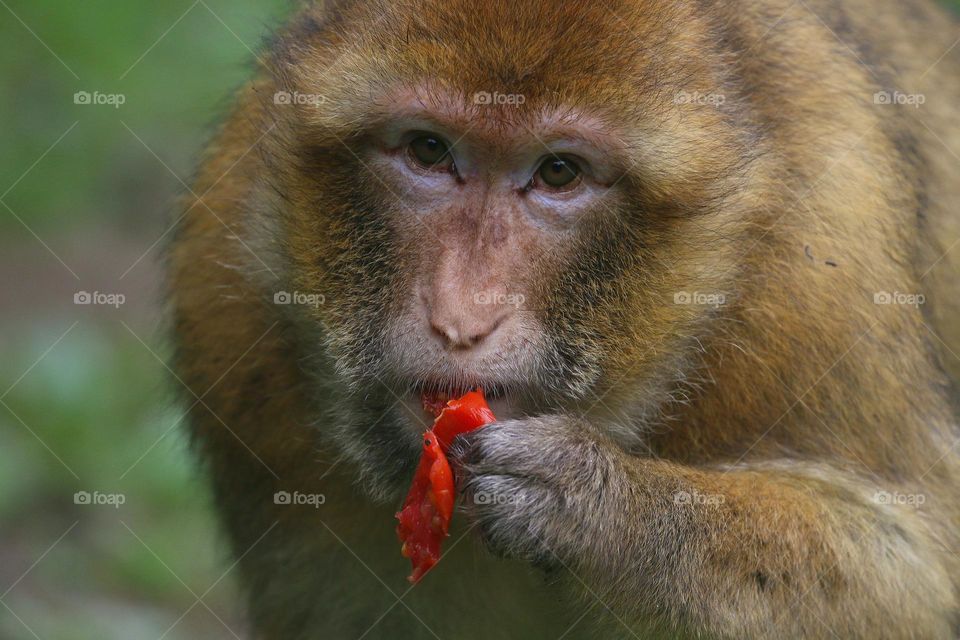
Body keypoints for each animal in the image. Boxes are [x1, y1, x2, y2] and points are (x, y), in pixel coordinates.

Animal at [166, 0, 960, 637]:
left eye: (558, 173)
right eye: (428, 150)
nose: (462, 318)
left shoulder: (817, 268)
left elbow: (912, 571)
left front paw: (603, 511)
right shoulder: (229, 316)